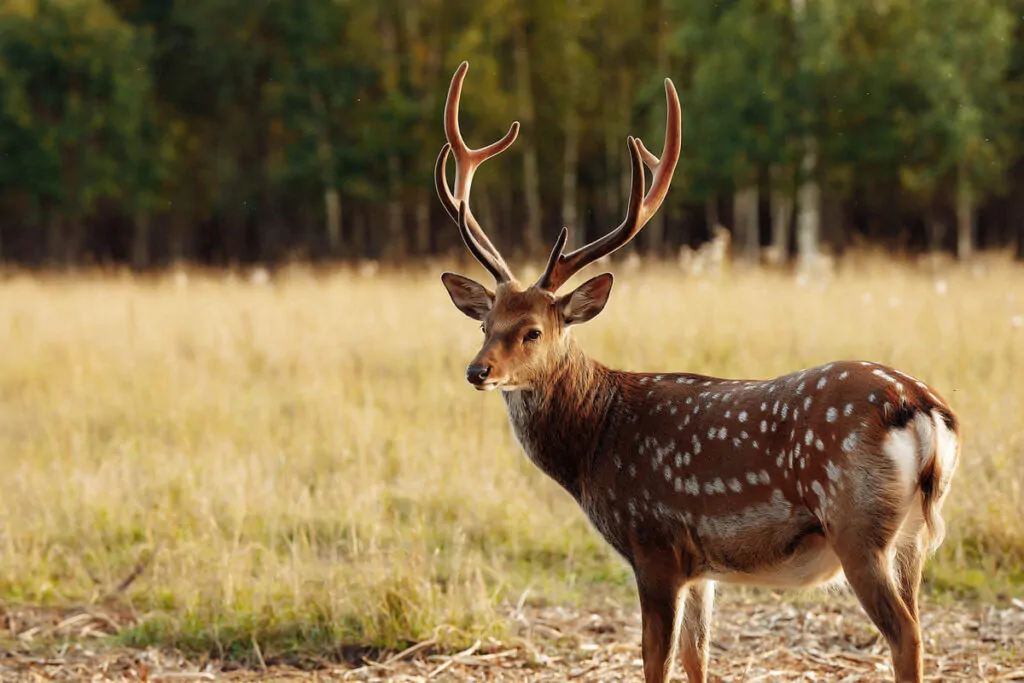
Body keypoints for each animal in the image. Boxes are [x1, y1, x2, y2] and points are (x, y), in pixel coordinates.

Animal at [432, 60, 958, 683]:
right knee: (918, 622)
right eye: (484, 323)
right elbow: (696, 657)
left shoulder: (655, 545)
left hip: (857, 527)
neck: (594, 442)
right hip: (911, 538)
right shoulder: (703, 567)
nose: (477, 371)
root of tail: (921, 408)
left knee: (906, 634)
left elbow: (655, 661)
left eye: (532, 330)